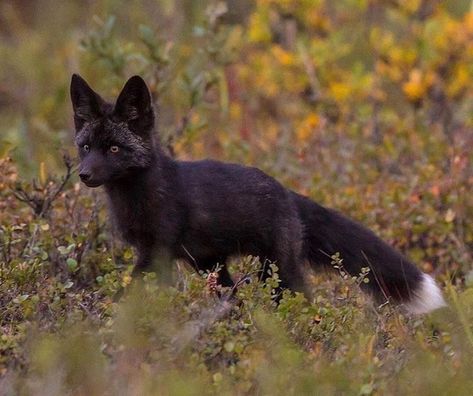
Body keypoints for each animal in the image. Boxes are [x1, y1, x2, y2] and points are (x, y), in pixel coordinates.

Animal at [68, 74, 444, 314]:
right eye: (86, 147)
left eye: (114, 149)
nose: (84, 174)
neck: (136, 199)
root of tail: (286, 191)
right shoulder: (151, 252)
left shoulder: (156, 253)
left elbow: (128, 291)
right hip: (212, 267)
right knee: (233, 297)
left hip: (279, 271)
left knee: (299, 298)